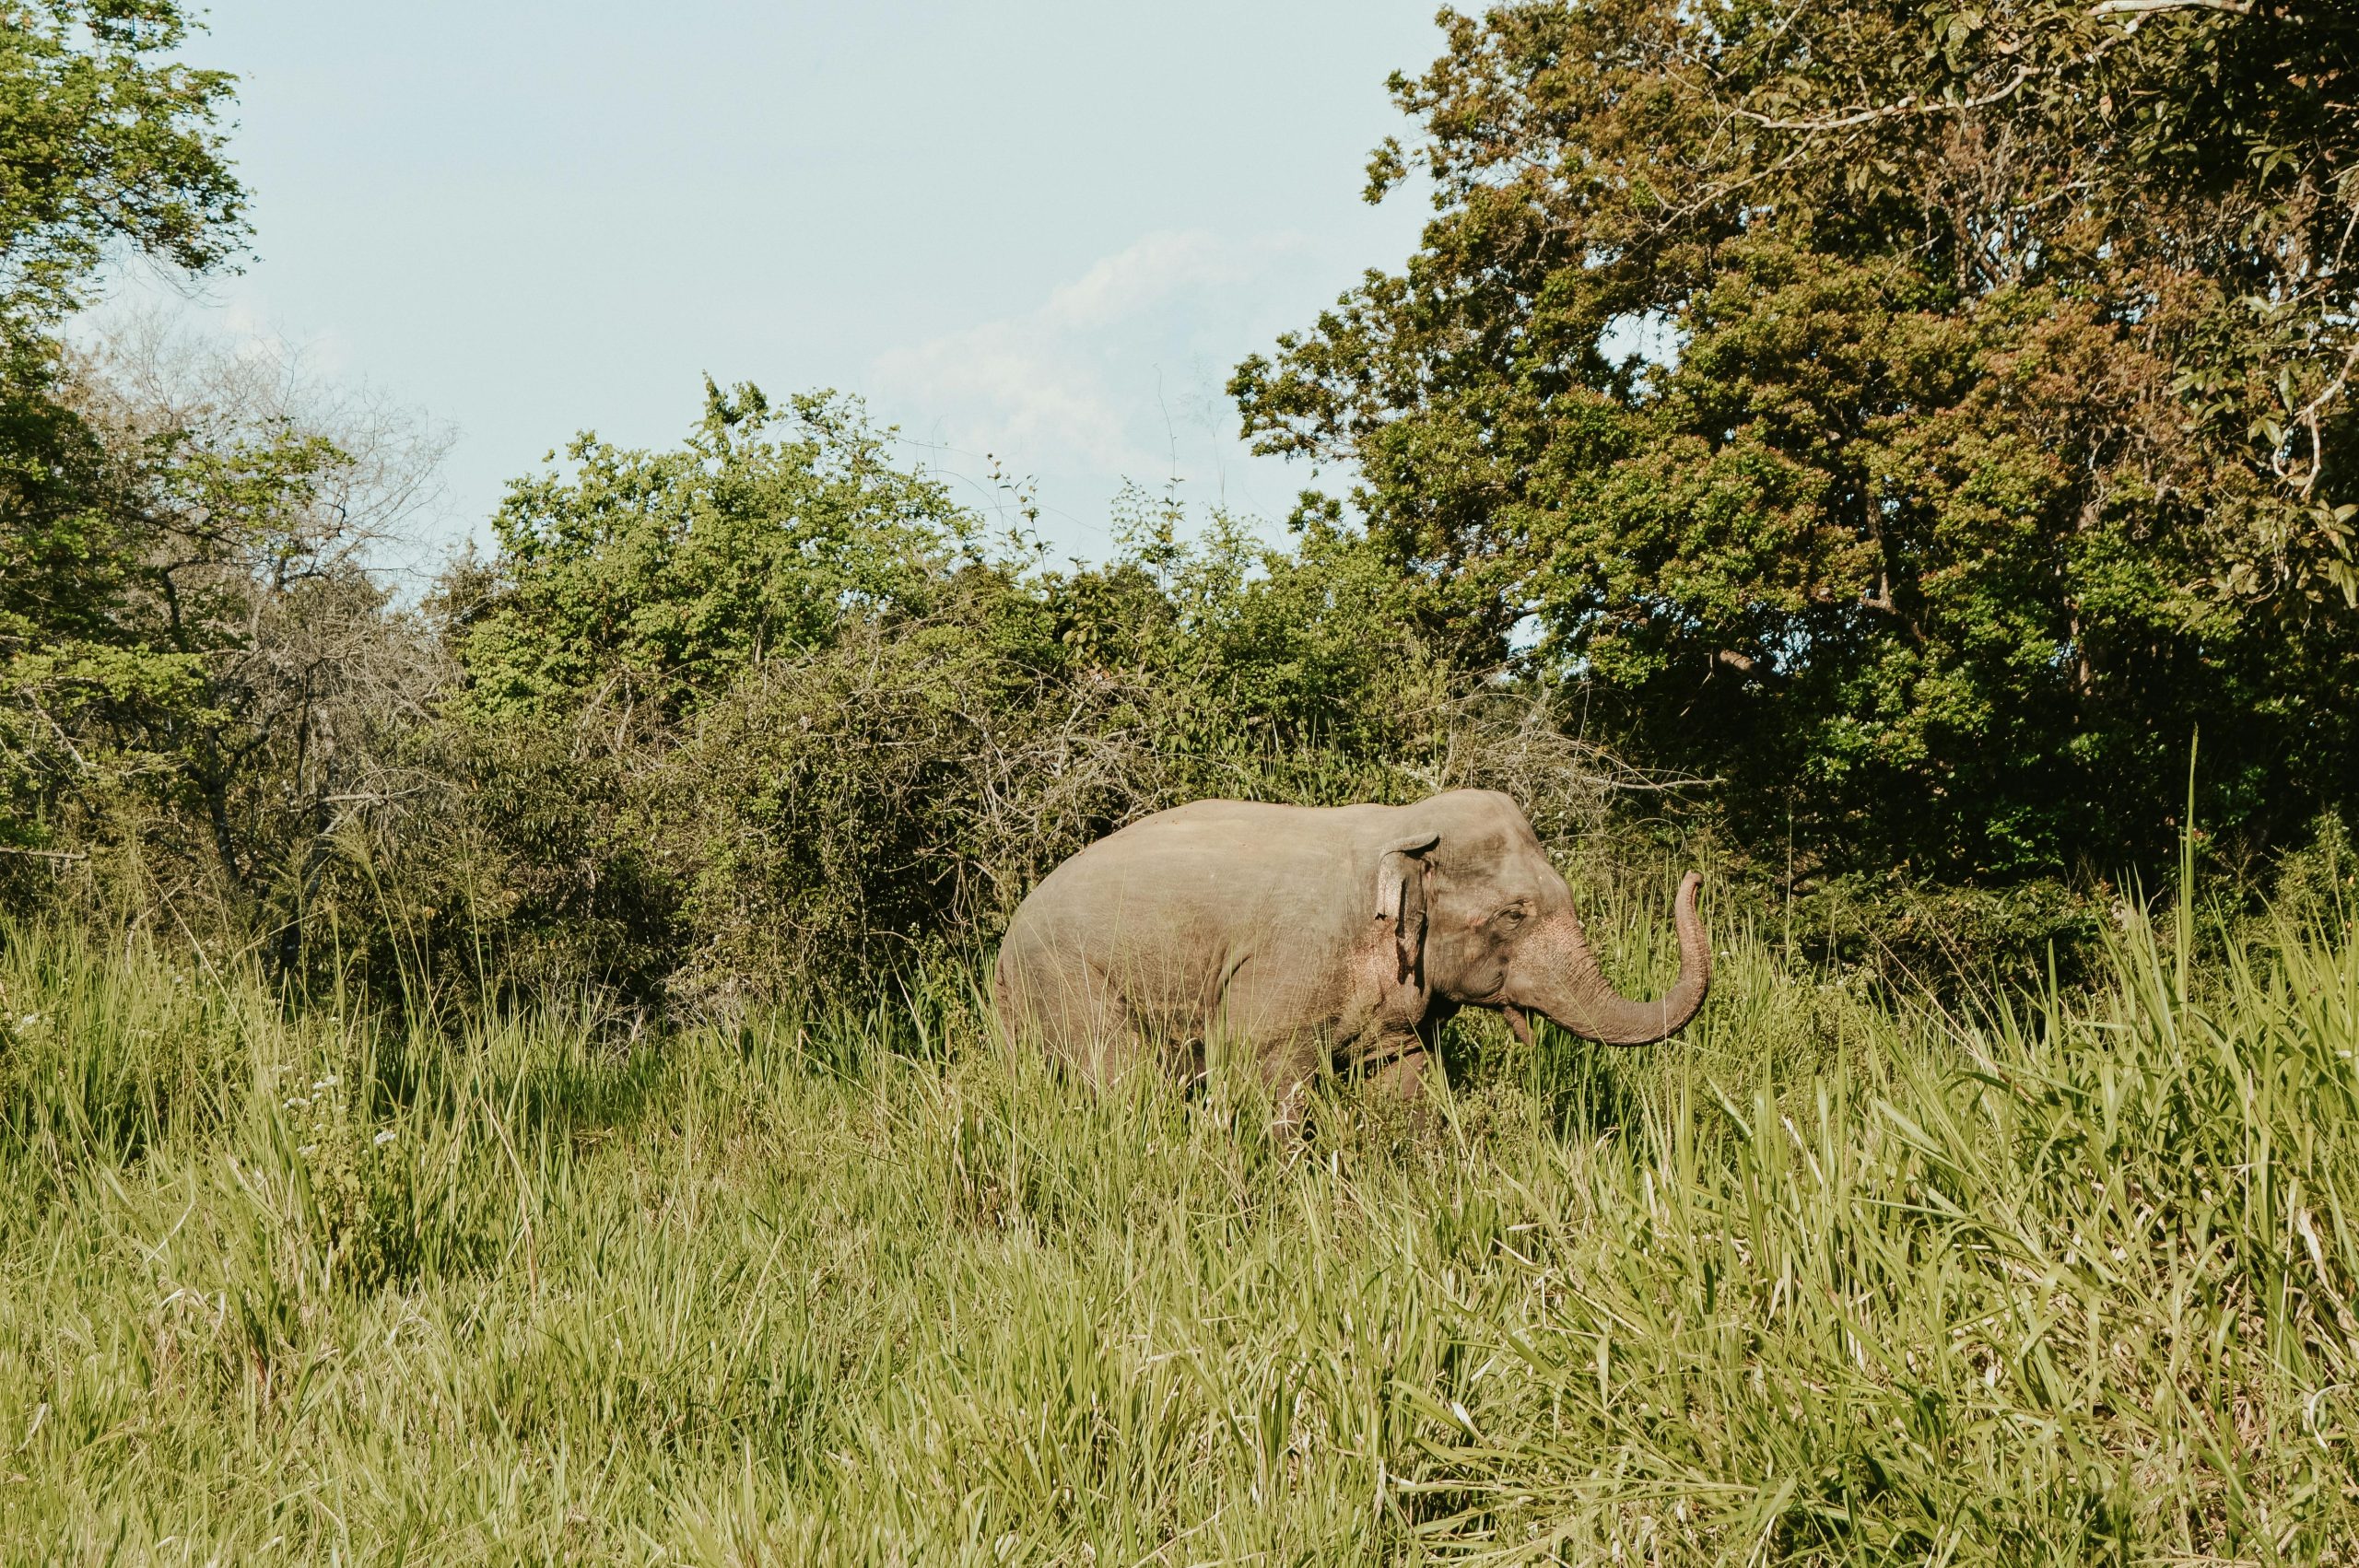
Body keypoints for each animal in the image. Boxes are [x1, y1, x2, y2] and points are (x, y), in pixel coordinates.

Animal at [991, 788, 1709, 1129]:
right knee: (1120, 1080)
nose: (1696, 876)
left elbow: (1402, 1075)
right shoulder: (1289, 966)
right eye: (1515, 914)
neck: (1401, 827)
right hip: (1065, 979)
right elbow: (1260, 1071)